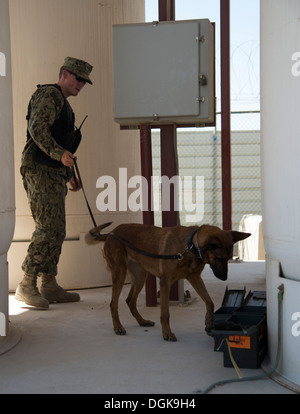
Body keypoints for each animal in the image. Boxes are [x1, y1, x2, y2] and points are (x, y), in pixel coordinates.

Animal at [85, 223, 250, 342]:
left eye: (229, 258)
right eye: (220, 258)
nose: (224, 278)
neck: (190, 246)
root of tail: (111, 233)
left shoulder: (195, 278)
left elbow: (210, 302)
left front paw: (209, 322)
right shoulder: (165, 283)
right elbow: (165, 313)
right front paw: (167, 334)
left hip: (140, 277)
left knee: (130, 300)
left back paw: (142, 321)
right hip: (120, 274)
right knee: (113, 303)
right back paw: (118, 327)